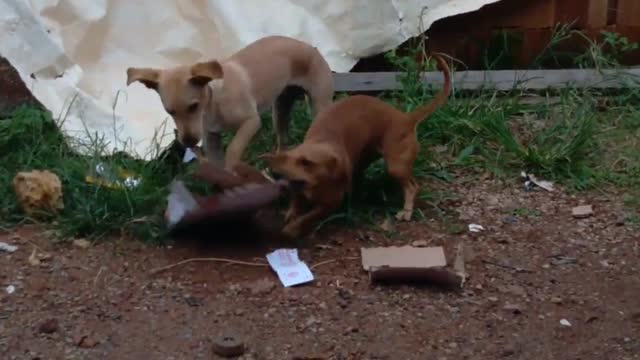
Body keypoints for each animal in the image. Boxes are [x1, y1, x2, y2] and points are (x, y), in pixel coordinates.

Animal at [125, 35, 336, 168]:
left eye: (194, 106)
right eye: (170, 112)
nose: (188, 141)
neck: (213, 103)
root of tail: (313, 48)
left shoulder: (252, 122)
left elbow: (234, 149)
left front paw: (234, 168)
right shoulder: (211, 139)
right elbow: (218, 166)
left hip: (319, 106)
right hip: (280, 110)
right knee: (283, 141)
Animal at [262, 54, 452, 239]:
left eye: (306, 162)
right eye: (285, 157)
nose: (272, 169)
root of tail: (405, 118)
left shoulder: (329, 203)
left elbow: (308, 217)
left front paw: (292, 228)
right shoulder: (299, 191)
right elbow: (296, 206)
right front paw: (290, 215)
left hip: (396, 166)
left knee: (412, 186)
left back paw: (406, 211)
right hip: (366, 160)